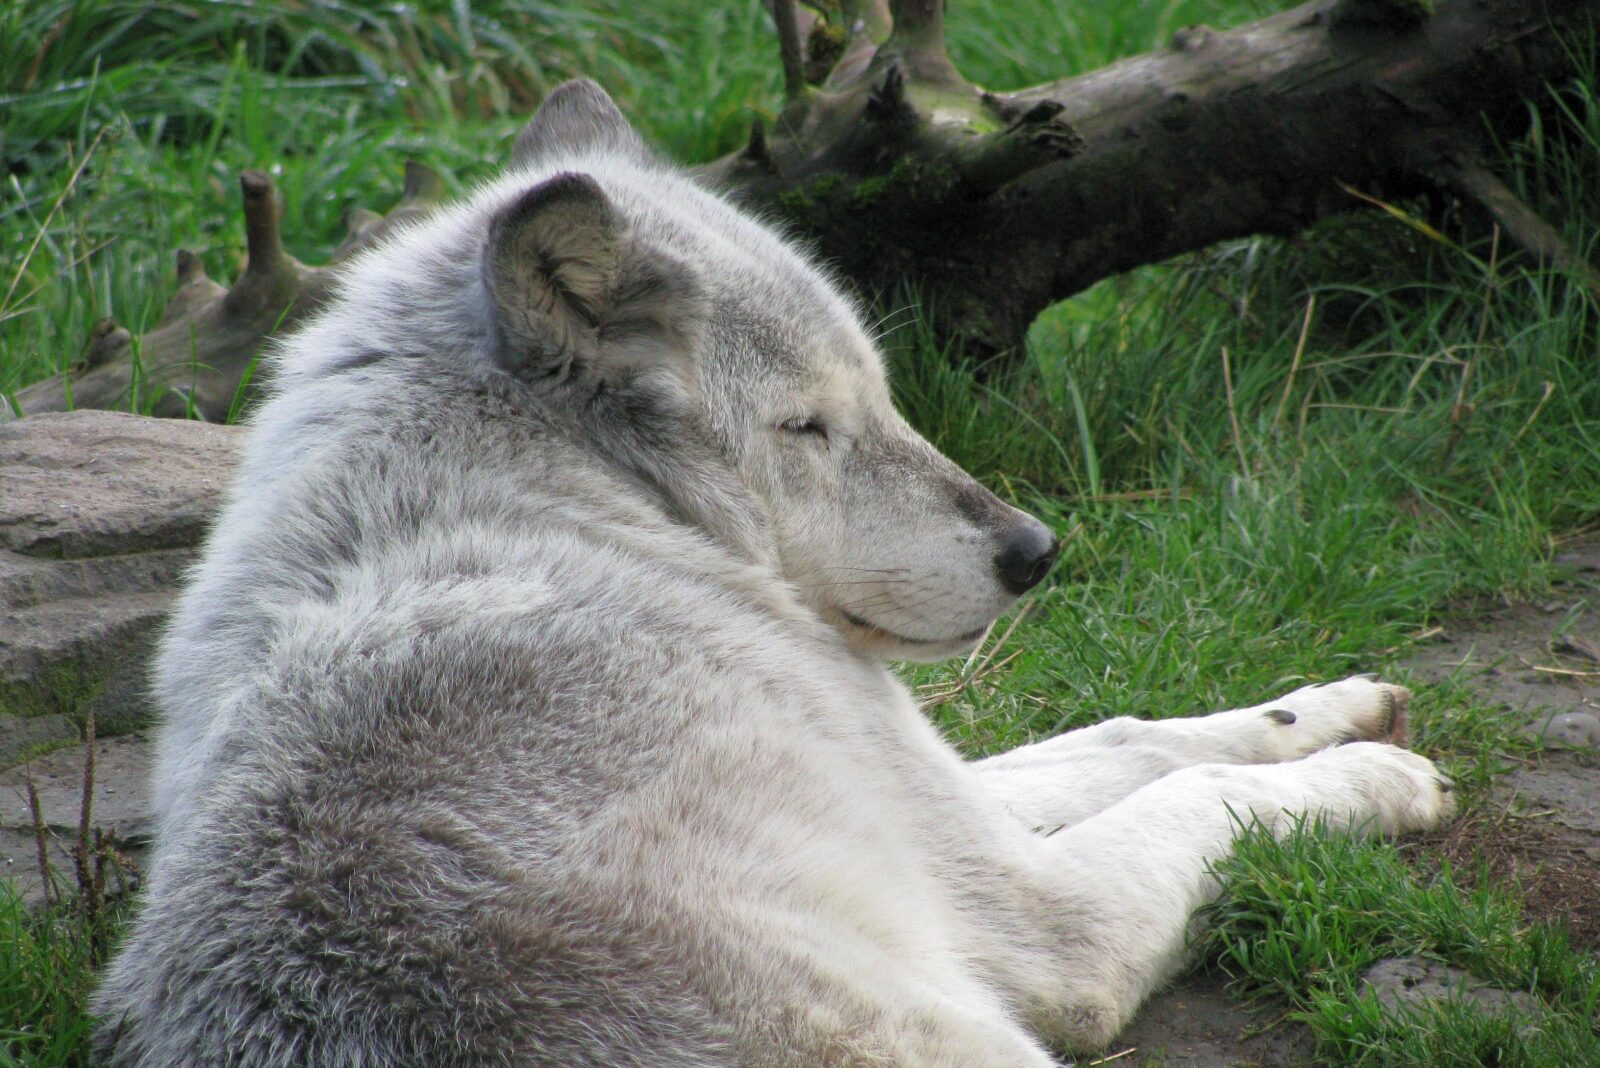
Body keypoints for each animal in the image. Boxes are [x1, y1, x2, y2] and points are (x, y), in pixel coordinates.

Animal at [95, 80, 1454, 1066]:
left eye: (885, 398)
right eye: (807, 428)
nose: (1036, 552)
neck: (573, 513)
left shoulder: (919, 773)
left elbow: (1128, 737)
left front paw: (1332, 708)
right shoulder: (1042, 918)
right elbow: (1198, 797)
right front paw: (1377, 776)